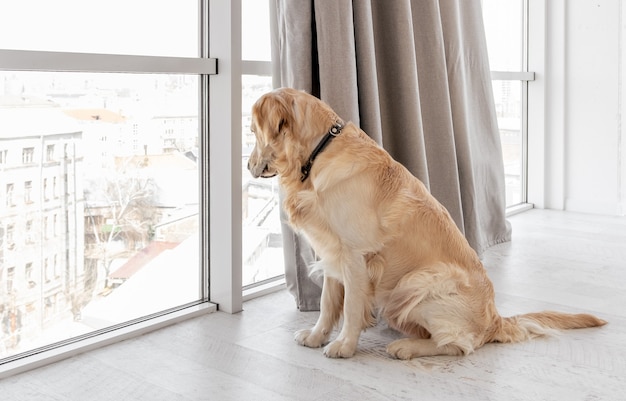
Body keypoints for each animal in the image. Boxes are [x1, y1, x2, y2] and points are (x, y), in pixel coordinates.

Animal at [245, 86, 604, 356]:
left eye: (252, 131)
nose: (247, 165)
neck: (318, 154)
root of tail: (495, 320)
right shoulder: (331, 252)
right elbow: (327, 303)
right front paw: (316, 335)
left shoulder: (356, 255)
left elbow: (350, 308)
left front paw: (344, 345)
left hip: (417, 282)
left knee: (460, 345)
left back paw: (406, 348)